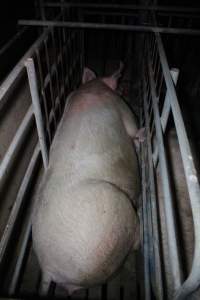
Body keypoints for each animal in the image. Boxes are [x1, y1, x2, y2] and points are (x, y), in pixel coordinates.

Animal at [31, 64, 141, 294]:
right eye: (118, 86)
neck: (93, 87)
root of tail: (48, 268)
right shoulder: (122, 109)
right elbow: (133, 129)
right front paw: (141, 134)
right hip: (114, 216)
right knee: (134, 240)